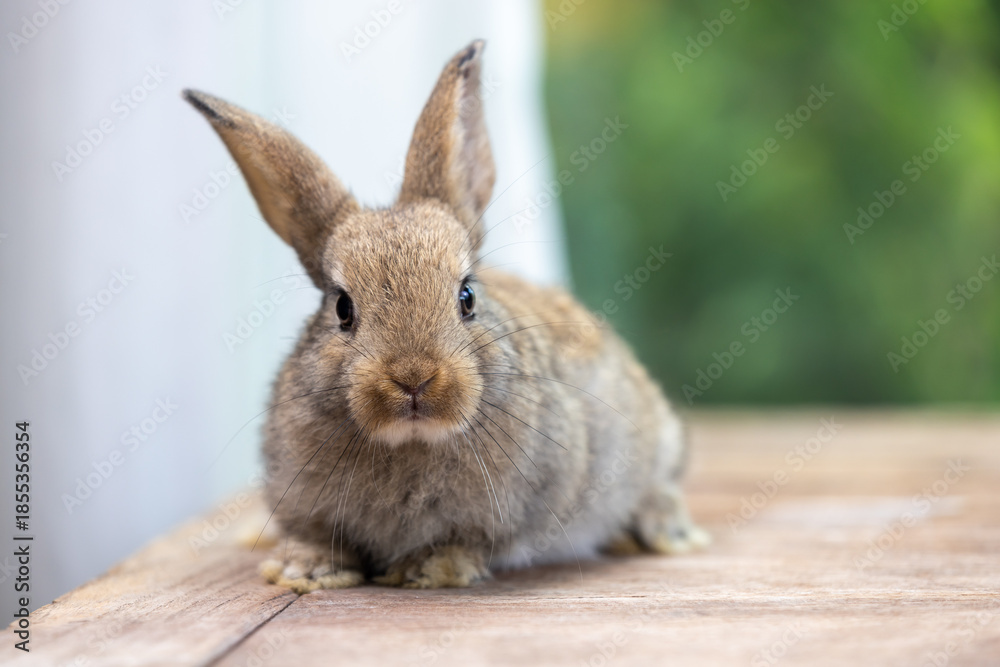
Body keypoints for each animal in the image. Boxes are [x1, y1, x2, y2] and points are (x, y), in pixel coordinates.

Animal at [183, 40, 707, 592]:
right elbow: (317, 537)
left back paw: (663, 532)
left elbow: (470, 542)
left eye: (467, 297)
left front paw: (426, 569)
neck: (412, 441)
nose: (413, 378)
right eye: (343, 307)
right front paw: (303, 570)